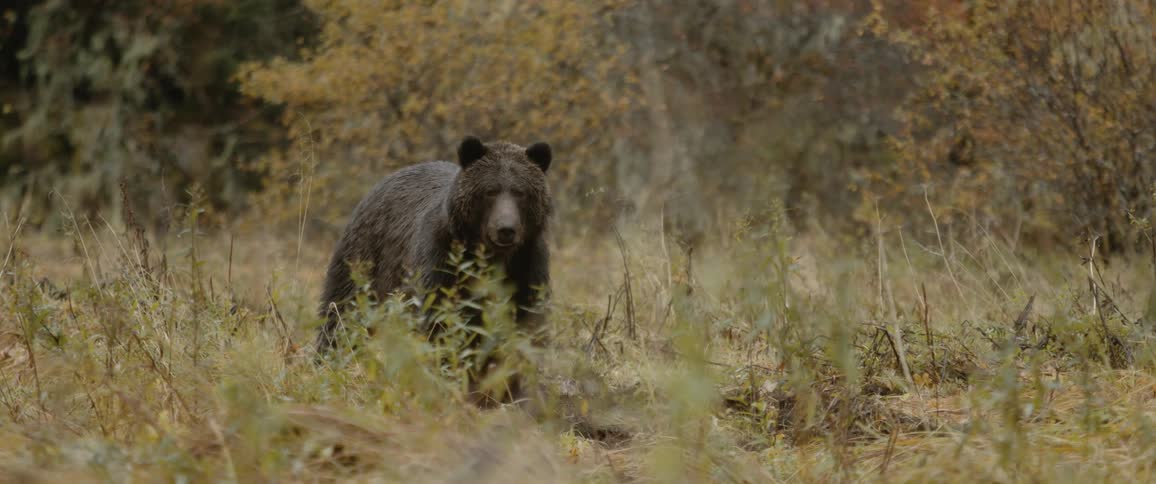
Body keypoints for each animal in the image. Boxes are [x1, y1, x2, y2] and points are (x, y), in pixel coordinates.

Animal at [315, 136, 554, 401]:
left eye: (520, 192)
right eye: (490, 191)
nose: (506, 229)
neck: (491, 258)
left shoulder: (528, 267)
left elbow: (526, 329)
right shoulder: (441, 259)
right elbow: (439, 323)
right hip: (365, 259)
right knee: (342, 313)